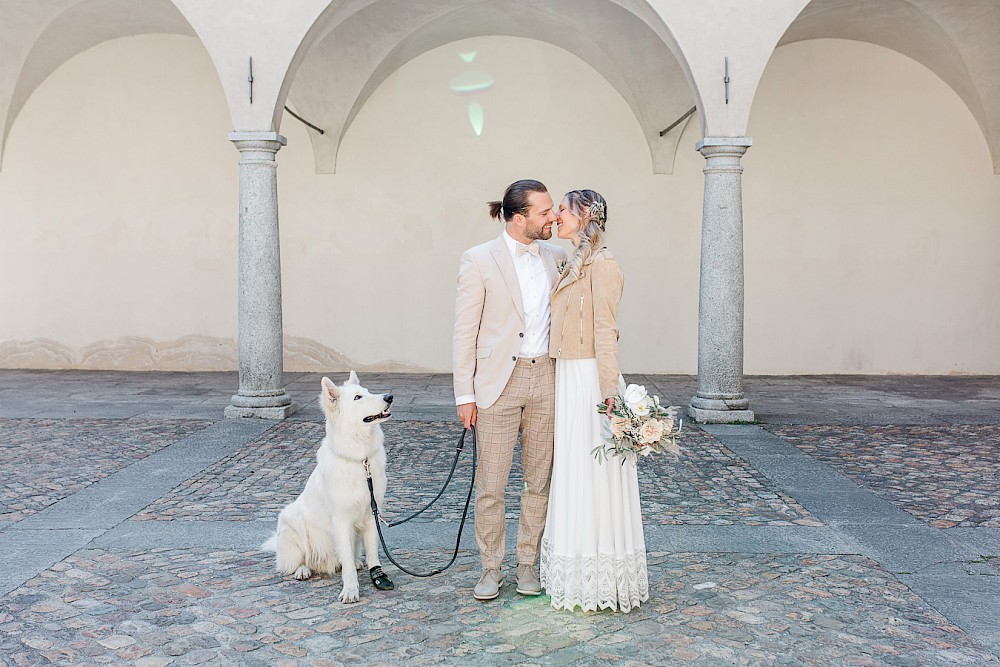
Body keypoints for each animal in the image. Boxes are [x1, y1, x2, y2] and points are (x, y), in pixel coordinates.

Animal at [262, 370, 394, 604]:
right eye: (358, 398)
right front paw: (350, 590)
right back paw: (303, 570)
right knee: (299, 560)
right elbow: (347, 563)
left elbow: (372, 554)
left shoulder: (371, 515)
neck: (359, 459)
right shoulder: (341, 520)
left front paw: (378, 576)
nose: (389, 397)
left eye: (368, 391)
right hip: (291, 520)